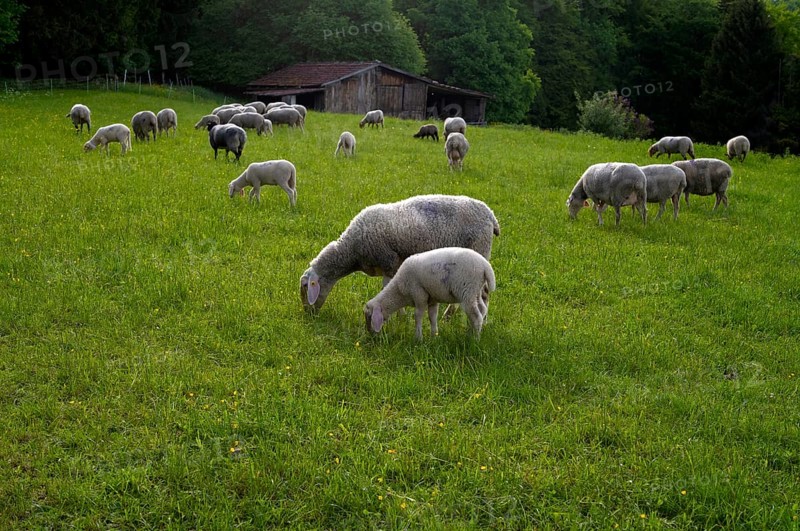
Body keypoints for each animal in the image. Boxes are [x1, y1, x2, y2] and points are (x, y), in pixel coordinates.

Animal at [300, 194, 500, 313]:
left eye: (305, 286)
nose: (309, 313)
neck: (350, 250)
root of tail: (490, 214)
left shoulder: (388, 261)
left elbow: (388, 288)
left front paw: (399, 316)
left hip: (480, 250)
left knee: (484, 294)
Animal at [364, 247, 495, 340]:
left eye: (369, 316)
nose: (370, 334)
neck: (399, 290)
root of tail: (485, 266)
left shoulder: (419, 294)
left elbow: (418, 316)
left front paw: (418, 338)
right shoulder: (433, 298)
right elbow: (432, 316)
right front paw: (434, 336)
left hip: (467, 291)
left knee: (476, 316)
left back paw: (475, 339)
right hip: (476, 290)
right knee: (482, 309)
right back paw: (472, 332)